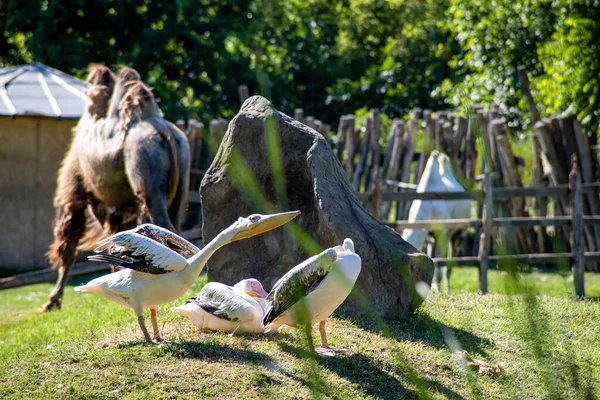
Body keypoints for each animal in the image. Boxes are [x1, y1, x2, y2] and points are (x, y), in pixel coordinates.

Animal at [39, 64, 190, 310]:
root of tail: (165, 133)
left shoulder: (80, 196)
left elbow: (70, 246)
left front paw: (52, 302)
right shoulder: (121, 205)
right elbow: (118, 237)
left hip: (147, 179)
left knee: (163, 224)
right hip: (183, 176)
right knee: (175, 226)